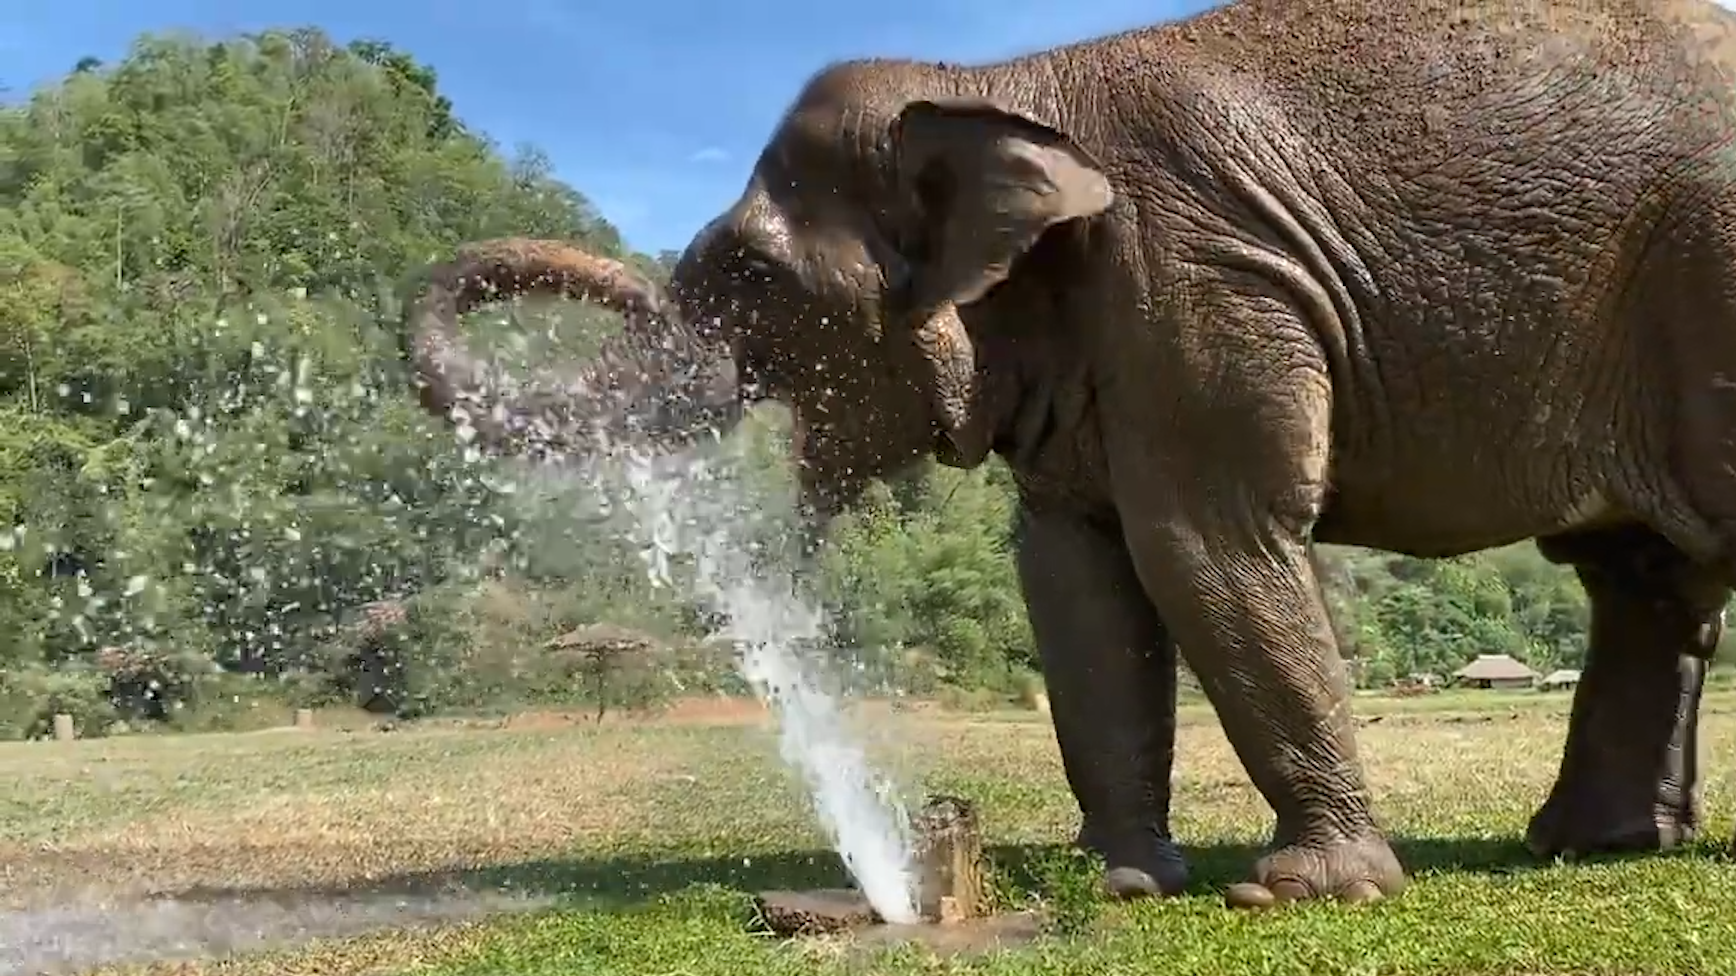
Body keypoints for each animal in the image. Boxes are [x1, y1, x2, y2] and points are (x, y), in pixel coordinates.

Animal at [402, 0, 1736, 908]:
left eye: (749, 274)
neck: (997, 83)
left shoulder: (1195, 281)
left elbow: (1207, 547)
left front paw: (1297, 891)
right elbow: (1072, 579)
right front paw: (1114, 879)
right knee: (1640, 578)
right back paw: (1588, 845)